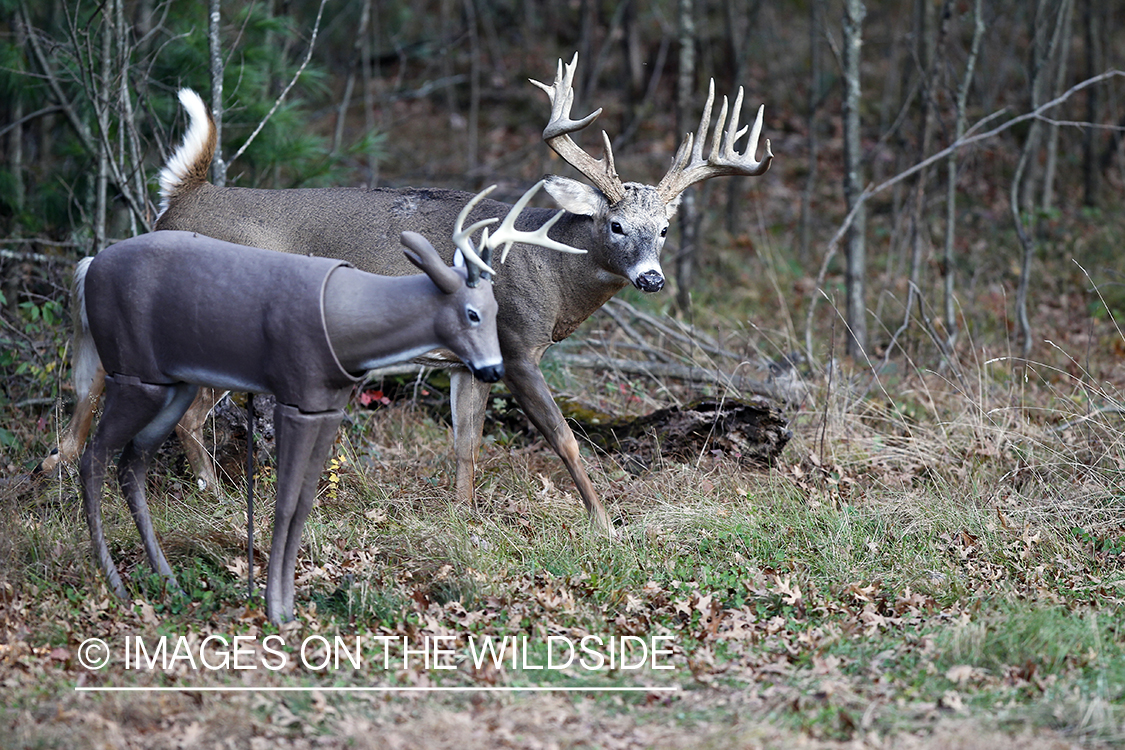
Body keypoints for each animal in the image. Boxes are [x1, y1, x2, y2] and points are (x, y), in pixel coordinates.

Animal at [43, 52, 774, 532]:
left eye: (664, 229)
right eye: (615, 224)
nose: (652, 277)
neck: (549, 268)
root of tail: (182, 199)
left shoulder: (469, 362)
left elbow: (465, 440)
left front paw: (463, 516)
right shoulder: (518, 344)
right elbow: (565, 439)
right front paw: (603, 524)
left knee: (100, 379)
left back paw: (72, 469)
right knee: (181, 413)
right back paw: (209, 499)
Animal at [77, 179, 580, 620]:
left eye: (497, 311)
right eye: (473, 313)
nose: (494, 367)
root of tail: (90, 266)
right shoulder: (297, 396)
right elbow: (287, 498)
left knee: (127, 452)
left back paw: (162, 574)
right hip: (156, 374)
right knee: (106, 447)